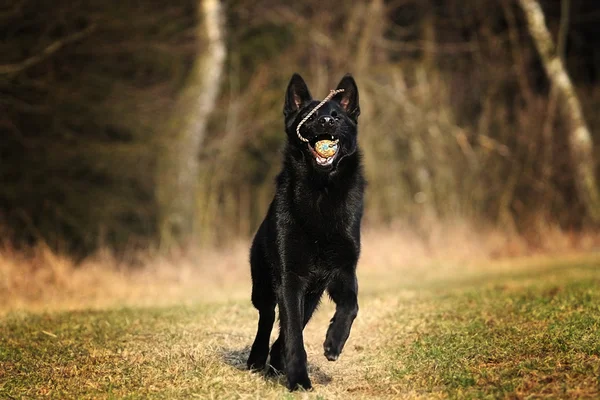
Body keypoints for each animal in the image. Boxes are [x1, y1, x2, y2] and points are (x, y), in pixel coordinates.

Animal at [245, 74, 366, 390]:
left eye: (337, 116)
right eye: (310, 116)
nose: (327, 121)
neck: (321, 190)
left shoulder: (342, 271)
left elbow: (351, 305)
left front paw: (334, 342)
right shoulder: (290, 278)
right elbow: (292, 333)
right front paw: (299, 379)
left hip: (312, 296)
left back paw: (276, 362)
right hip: (264, 287)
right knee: (267, 319)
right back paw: (257, 360)